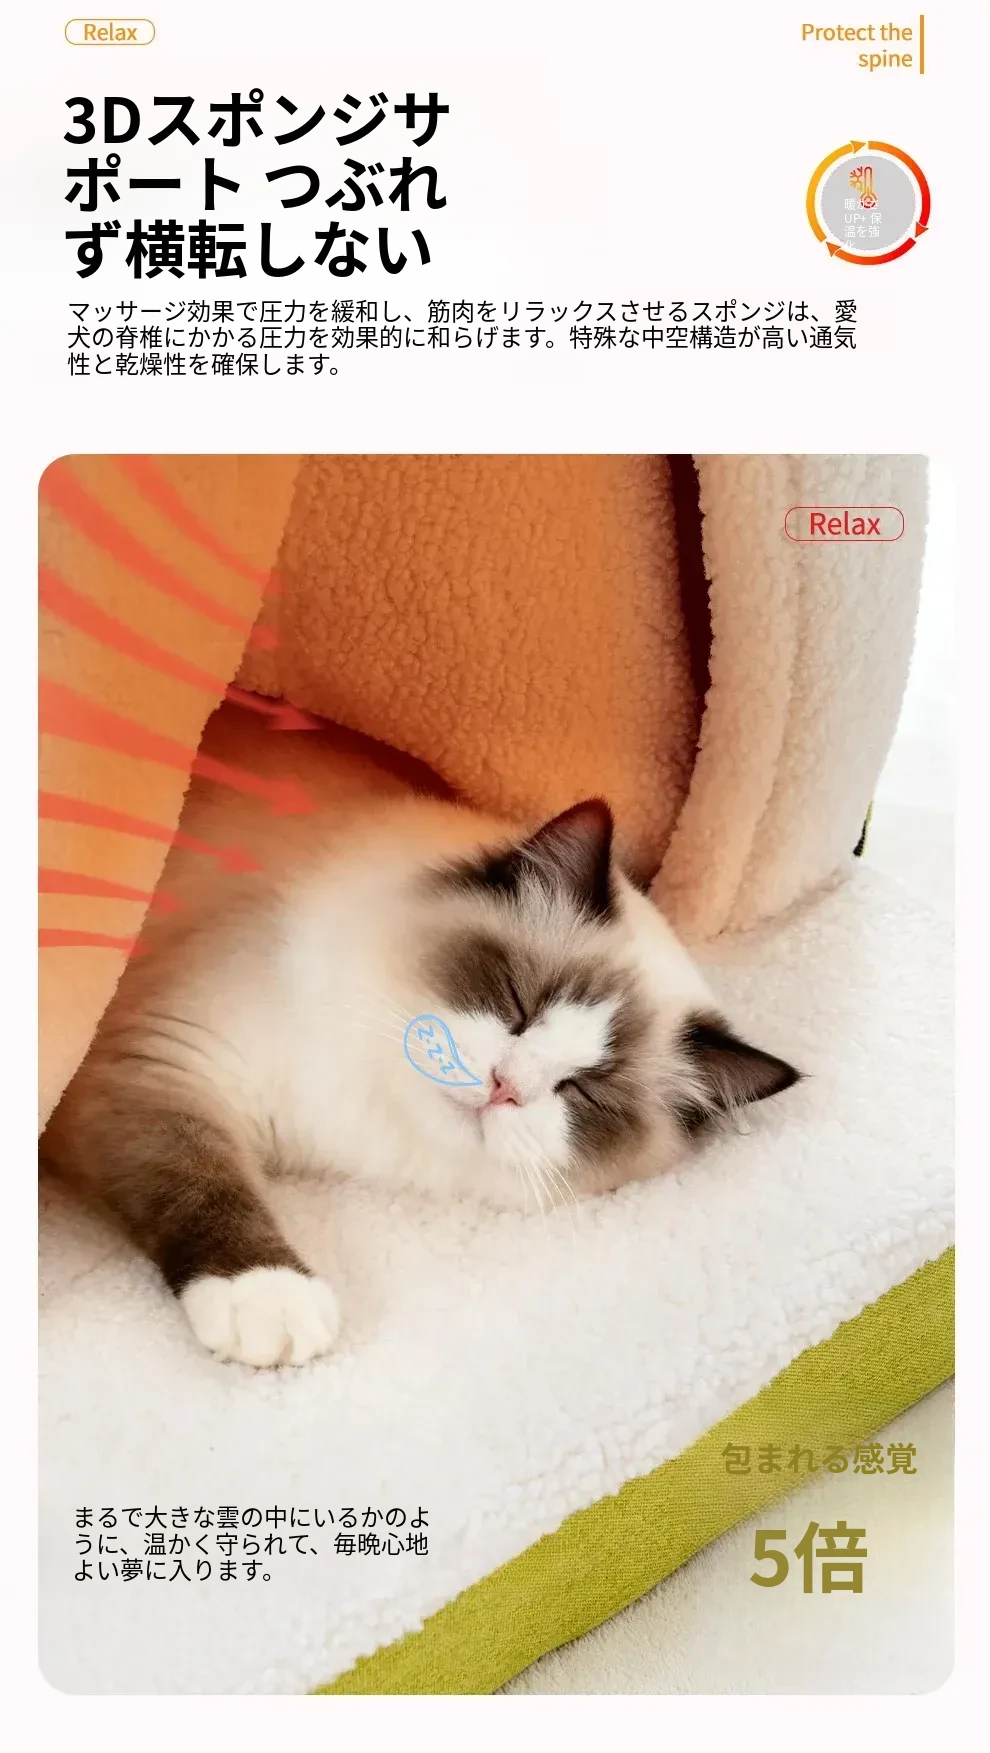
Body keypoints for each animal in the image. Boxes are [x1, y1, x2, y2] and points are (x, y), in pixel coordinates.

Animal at [42, 713, 800, 1370]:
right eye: (516, 1003)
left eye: (583, 1091)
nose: (505, 1087)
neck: (361, 1107)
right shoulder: (164, 1065)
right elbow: (204, 1185)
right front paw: (268, 1300)